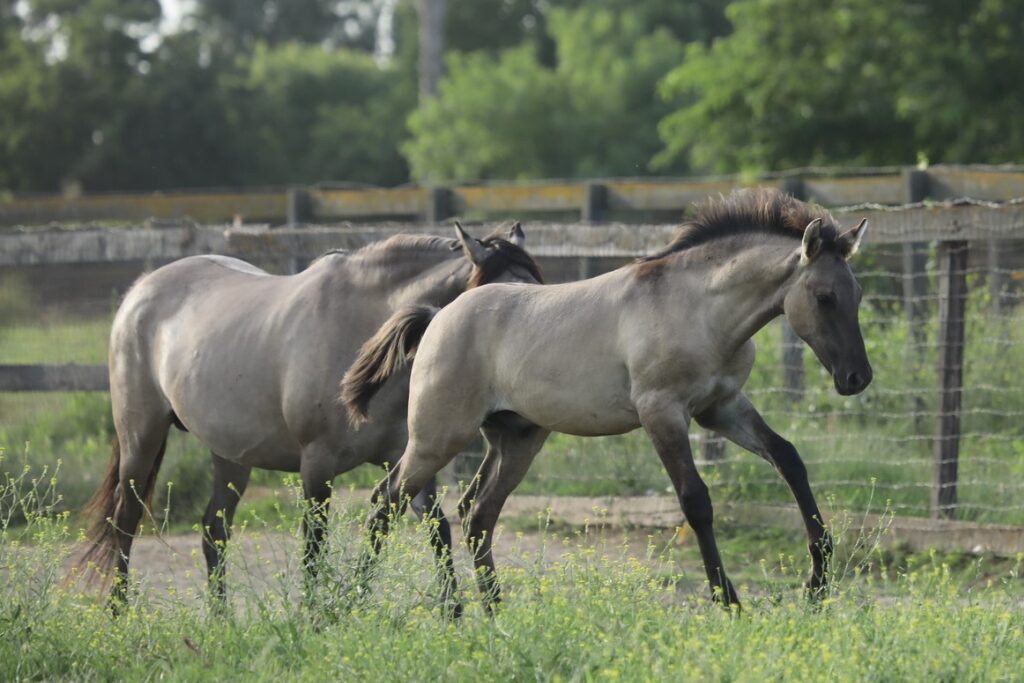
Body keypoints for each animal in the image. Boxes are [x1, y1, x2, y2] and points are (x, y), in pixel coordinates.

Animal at [78, 222, 543, 610]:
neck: (362, 326)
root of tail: (141, 289)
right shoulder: (317, 466)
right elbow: (314, 549)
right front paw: (314, 619)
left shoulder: (409, 457)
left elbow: (436, 530)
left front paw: (453, 616)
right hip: (141, 437)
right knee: (125, 524)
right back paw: (119, 615)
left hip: (230, 455)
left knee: (213, 531)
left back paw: (221, 621)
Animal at [342, 189, 872, 611]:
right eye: (824, 297)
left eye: (858, 293)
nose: (857, 378)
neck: (697, 309)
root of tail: (438, 316)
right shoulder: (662, 412)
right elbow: (696, 500)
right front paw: (729, 602)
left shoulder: (721, 407)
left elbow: (788, 458)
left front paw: (818, 582)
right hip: (437, 438)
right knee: (385, 501)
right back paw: (348, 603)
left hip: (517, 441)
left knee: (477, 514)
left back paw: (495, 615)